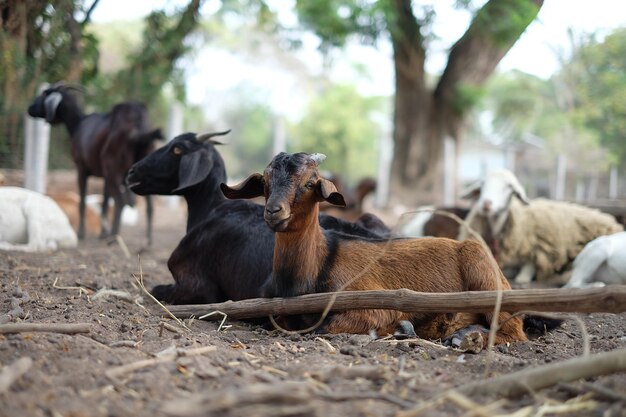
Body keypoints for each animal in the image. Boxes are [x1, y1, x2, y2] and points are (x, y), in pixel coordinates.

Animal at [27, 83, 162, 242]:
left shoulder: (82, 169)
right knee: (149, 205)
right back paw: (147, 241)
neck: (78, 123)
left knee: (120, 201)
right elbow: (104, 203)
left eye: (44, 94)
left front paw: (81, 234)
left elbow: (83, 201)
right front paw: (102, 234)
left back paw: (114, 237)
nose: (29, 108)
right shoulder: (105, 176)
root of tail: (137, 125)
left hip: (113, 171)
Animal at [222, 151, 528, 346]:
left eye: (309, 182)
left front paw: (401, 328)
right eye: (265, 182)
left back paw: (467, 338)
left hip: (486, 278)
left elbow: (325, 326)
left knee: (514, 331)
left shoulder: (370, 305)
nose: (274, 211)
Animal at [458, 169, 620, 282]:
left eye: (509, 187)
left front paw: (524, 276)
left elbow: (528, 267)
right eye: (482, 184)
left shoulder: (539, 249)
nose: (486, 204)